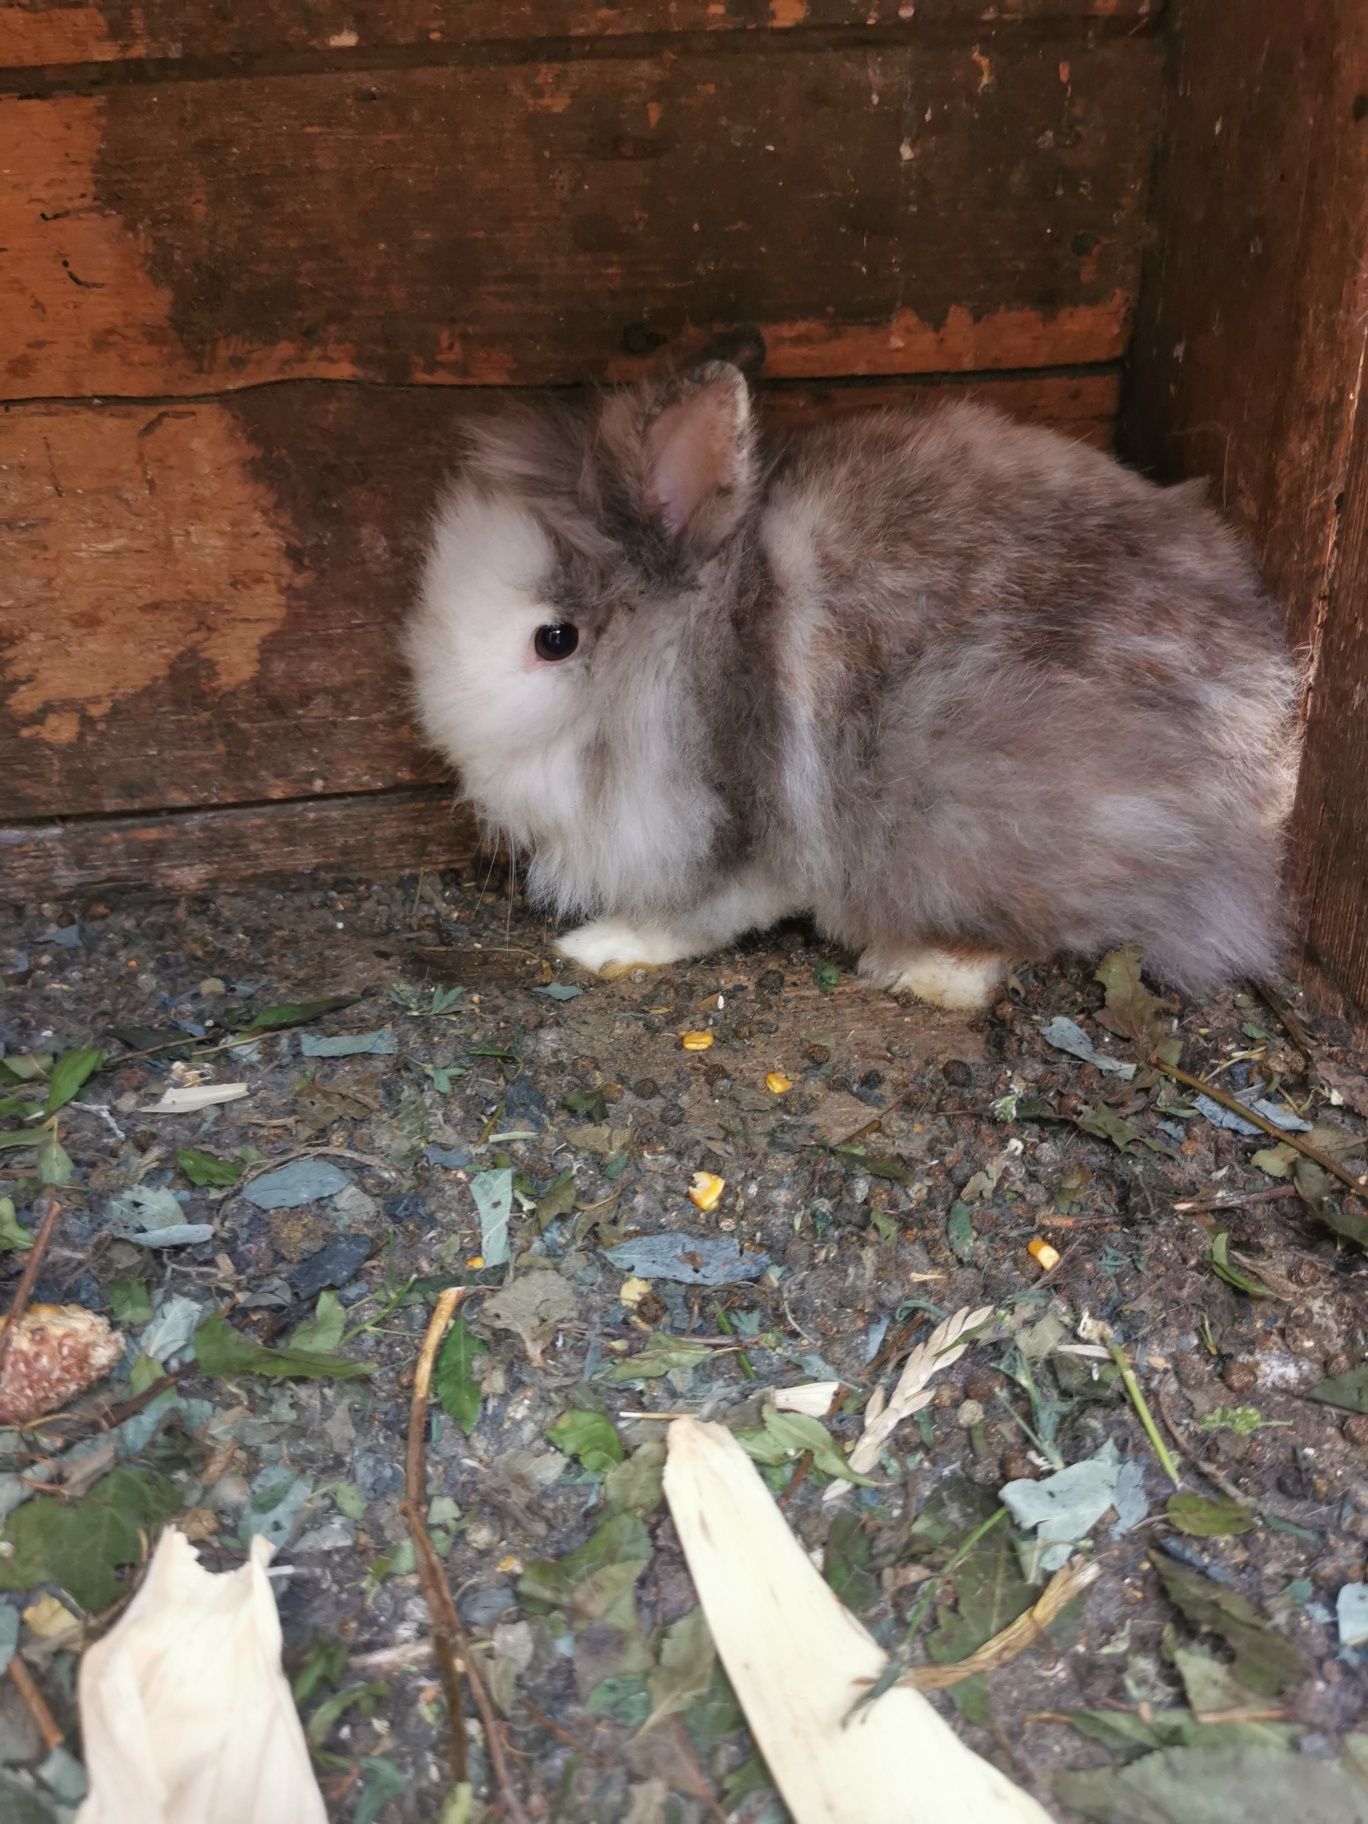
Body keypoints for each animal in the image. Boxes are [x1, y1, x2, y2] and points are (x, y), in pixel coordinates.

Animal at [401, 355, 1298, 1014]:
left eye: (554, 640)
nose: (440, 729)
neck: (694, 648)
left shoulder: (750, 829)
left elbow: (701, 916)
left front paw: (602, 945)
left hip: (981, 801)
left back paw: (916, 969)